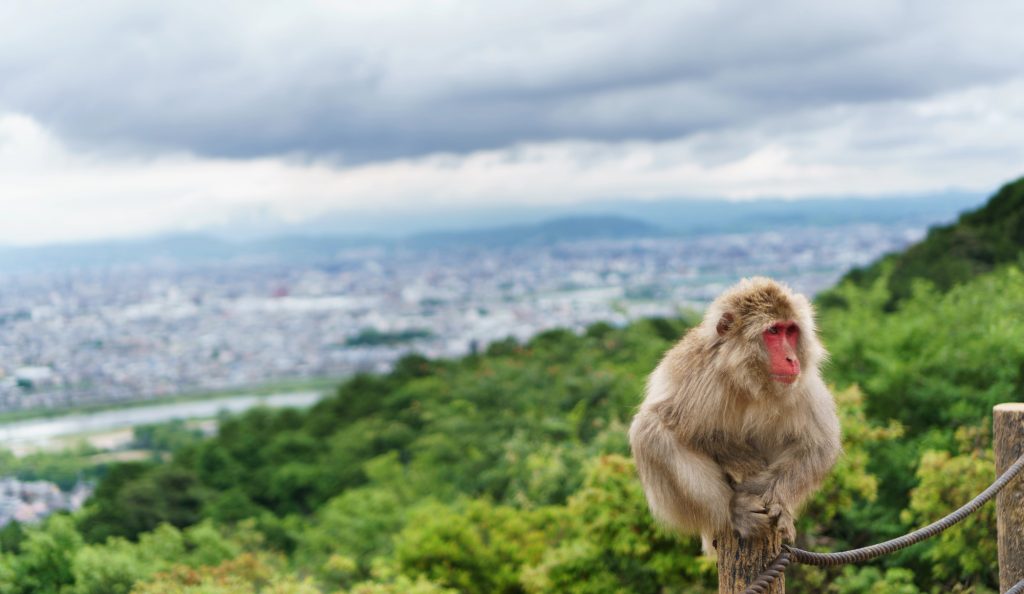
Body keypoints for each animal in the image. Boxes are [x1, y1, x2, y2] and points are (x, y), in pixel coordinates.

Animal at [628, 277, 840, 552]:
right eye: (773, 331)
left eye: (791, 331)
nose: (791, 359)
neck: (748, 379)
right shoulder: (701, 376)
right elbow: (683, 425)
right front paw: (740, 459)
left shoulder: (802, 384)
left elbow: (818, 445)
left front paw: (771, 497)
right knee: (649, 430)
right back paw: (733, 511)